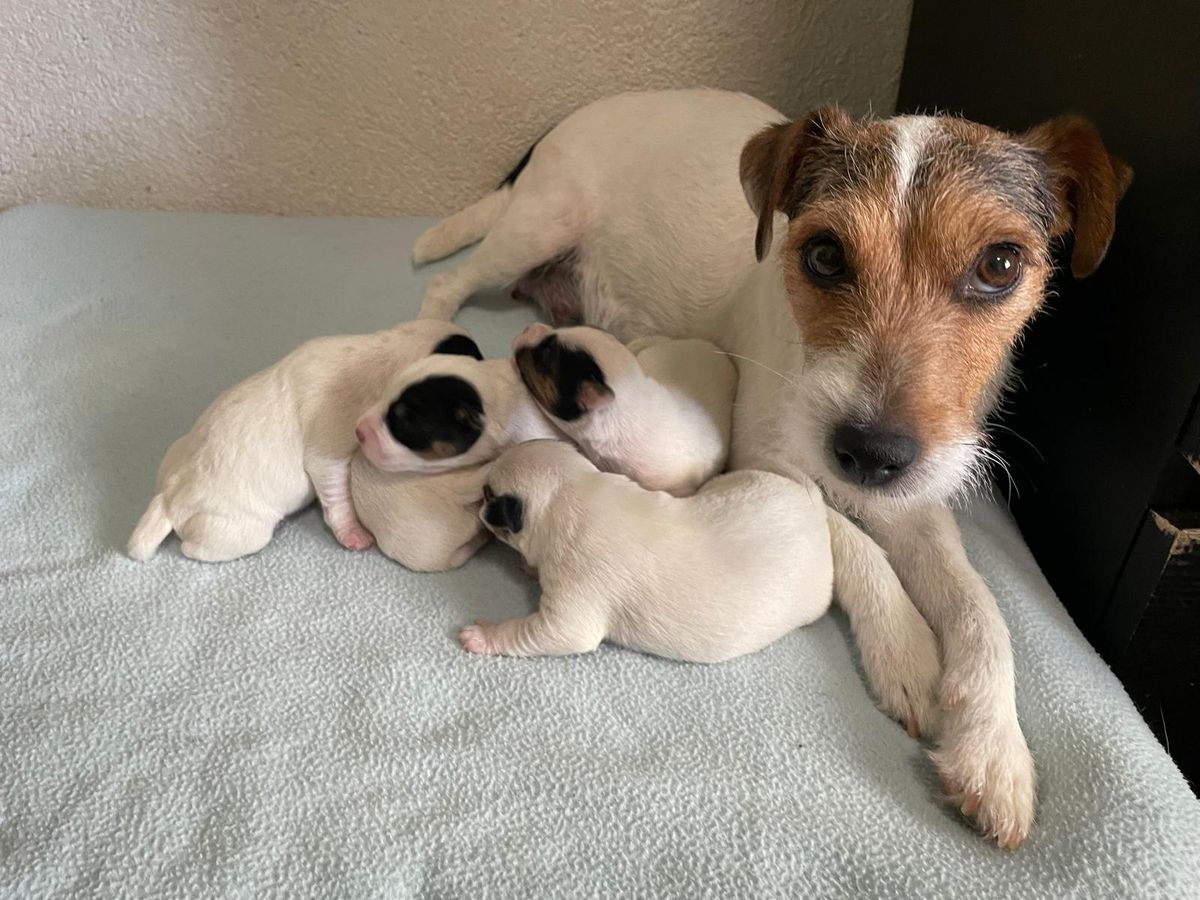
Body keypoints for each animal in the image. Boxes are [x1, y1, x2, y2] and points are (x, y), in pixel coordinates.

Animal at [128, 321, 480, 562]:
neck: (390, 349)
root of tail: (170, 497)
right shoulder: (329, 453)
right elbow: (338, 498)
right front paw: (352, 532)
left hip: (174, 451)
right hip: (238, 530)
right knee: (196, 547)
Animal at [460, 440, 833, 662]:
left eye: (488, 495)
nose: (479, 506)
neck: (570, 492)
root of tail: (815, 506)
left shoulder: (571, 605)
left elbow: (538, 633)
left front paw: (482, 635)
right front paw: (528, 566)